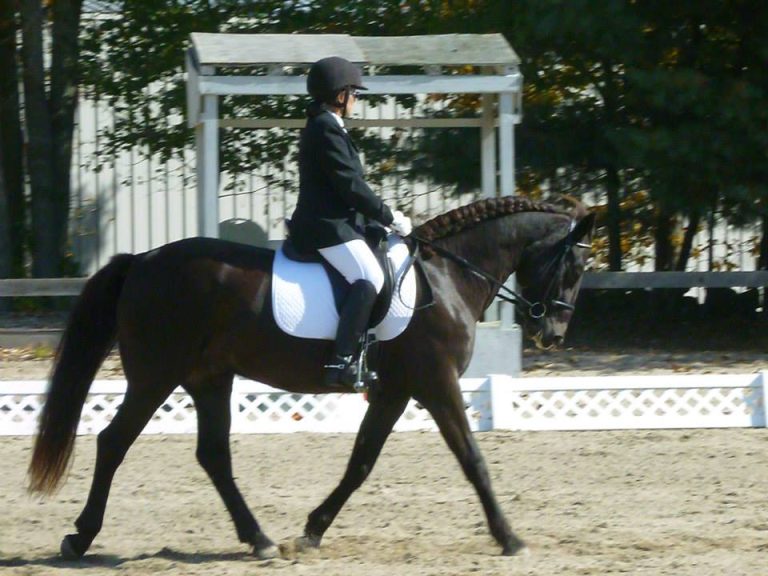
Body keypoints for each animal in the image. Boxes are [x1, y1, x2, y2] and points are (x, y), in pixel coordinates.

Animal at [28, 195, 594, 559]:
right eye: (572, 269)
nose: (552, 333)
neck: (448, 276)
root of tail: (142, 259)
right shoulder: (435, 385)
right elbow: (473, 460)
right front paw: (510, 538)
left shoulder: (393, 391)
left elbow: (360, 463)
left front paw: (312, 531)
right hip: (155, 376)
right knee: (113, 441)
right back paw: (80, 537)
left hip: (209, 378)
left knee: (212, 455)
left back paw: (259, 539)